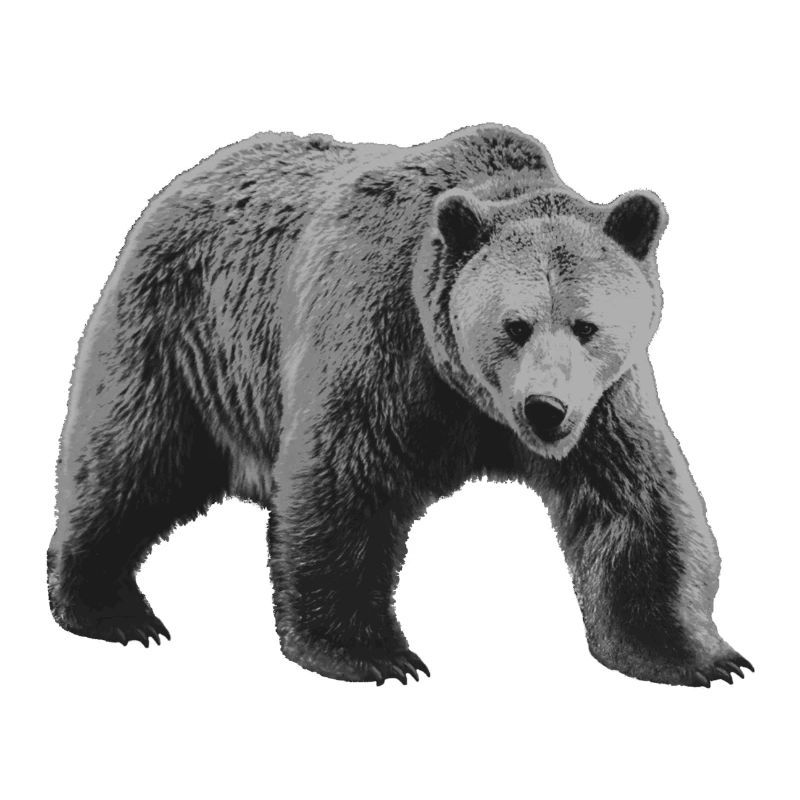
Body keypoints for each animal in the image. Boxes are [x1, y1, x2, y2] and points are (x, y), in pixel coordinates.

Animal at [48, 124, 752, 687]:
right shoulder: (383, 343)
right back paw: (112, 609)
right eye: (515, 325)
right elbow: (345, 484)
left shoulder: (604, 403)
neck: (472, 395)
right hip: (184, 334)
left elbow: (636, 505)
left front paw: (705, 658)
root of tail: (193, 173)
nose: (545, 409)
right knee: (132, 458)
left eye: (586, 325)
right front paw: (376, 655)